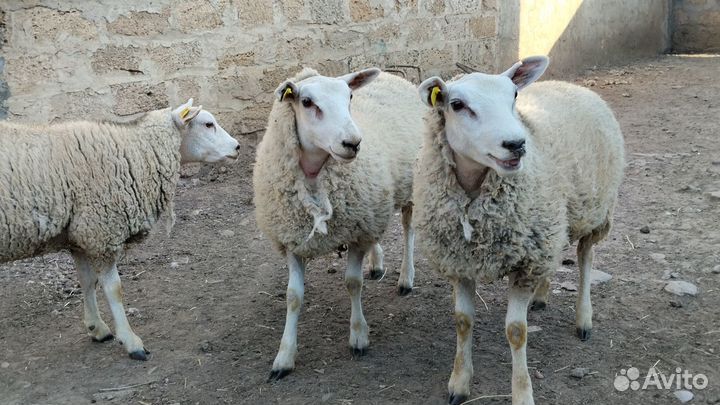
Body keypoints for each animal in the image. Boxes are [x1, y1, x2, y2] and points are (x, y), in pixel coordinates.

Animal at [0, 99, 240, 360]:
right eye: (208, 124)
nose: (237, 147)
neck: (133, 150)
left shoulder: (81, 234)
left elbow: (87, 282)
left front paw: (97, 328)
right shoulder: (102, 230)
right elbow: (115, 289)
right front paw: (131, 341)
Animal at [253, 67, 424, 380]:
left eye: (349, 97)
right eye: (307, 102)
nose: (353, 143)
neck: (314, 177)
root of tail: (391, 75)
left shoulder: (357, 234)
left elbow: (352, 283)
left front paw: (358, 336)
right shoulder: (293, 240)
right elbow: (293, 296)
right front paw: (284, 356)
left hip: (410, 185)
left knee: (408, 229)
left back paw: (406, 277)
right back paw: (377, 263)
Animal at [413, 56, 625, 405]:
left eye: (513, 95)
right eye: (457, 105)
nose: (516, 144)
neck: (475, 196)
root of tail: (569, 84)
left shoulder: (525, 264)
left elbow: (516, 331)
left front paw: (522, 392)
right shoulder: (461, 261)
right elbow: (463, 322)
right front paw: (459, 382)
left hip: (594, 212)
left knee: (585, 258)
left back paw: (583, 318)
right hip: (550, 226)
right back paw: (541, 296)